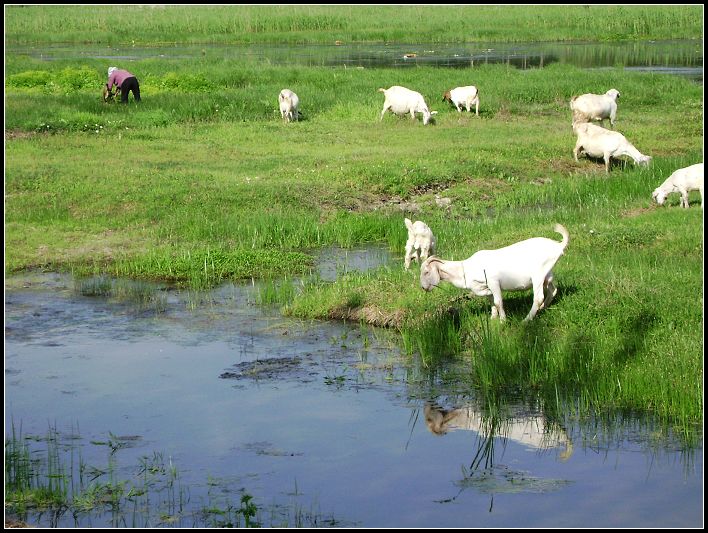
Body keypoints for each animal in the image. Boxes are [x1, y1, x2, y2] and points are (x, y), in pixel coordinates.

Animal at [420, 223, 568, 322]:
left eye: (426, 272)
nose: (423, 287)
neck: (464, 269)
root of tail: (558, 245)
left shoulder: (493, 282)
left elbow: (497, 302)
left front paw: (503, 321)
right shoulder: (486, 287)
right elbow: (491, 302)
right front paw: (493, 318)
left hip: (538, 275)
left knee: (538, 298)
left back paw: (526, 320)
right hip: (547, 274)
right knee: (552, 289)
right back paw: (543, 308)